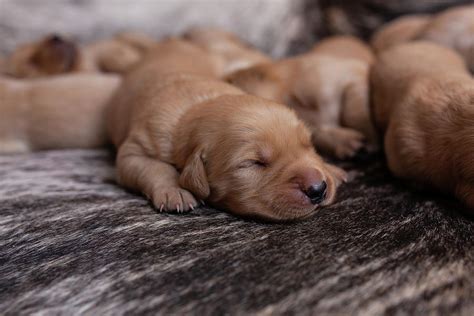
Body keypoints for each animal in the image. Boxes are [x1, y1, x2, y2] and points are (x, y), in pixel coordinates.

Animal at [106, 38, 344, 221]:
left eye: (307, 145)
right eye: (254, 163)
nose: (318, 188)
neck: (197, 104)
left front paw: (331, 168)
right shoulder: (135, 149)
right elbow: (155, 167)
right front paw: (175, 190)